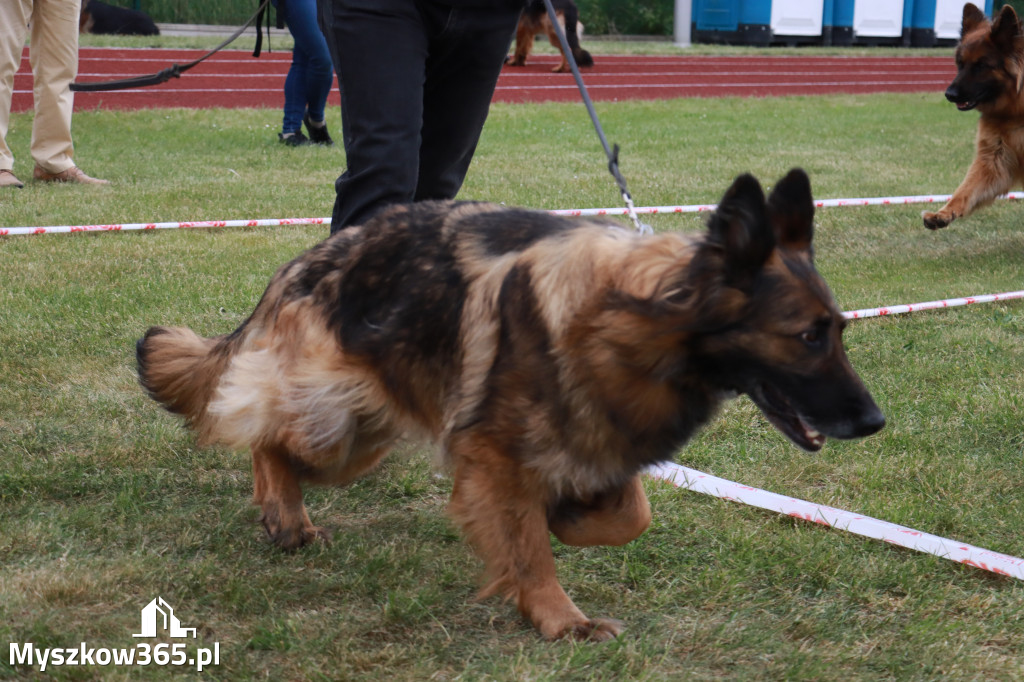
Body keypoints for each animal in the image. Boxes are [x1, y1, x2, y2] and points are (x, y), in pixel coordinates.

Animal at [136, 168, 884, 638]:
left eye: (840, 330)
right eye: (809, 336)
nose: (874, 421)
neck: (634, 321)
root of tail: (307, 260)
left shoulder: (599, 442)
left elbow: (628, 514)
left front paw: (571, 518)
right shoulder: (495, 456)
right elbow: (528, 551)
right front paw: (560, 619)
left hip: (367, 433)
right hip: (337, 427)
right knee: (264, 434)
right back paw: (284, 514)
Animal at [921, 0, 1024, 231]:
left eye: (981, 65)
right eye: (960, 64)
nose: (949, 94)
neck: (1015, 111)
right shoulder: (994, 161)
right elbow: (965, 190)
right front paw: (943, 214)